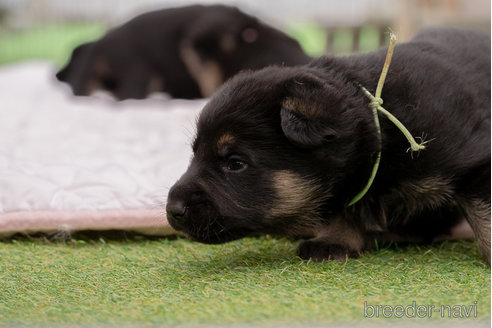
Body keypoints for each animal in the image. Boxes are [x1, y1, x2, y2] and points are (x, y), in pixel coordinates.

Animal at [167, 27, 490, 264]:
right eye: (195, 153)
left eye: (235, 163)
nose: (172, 210)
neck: (381, 132)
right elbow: (341, 207)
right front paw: (335, 240)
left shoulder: (473, 160)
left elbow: (484, 211)